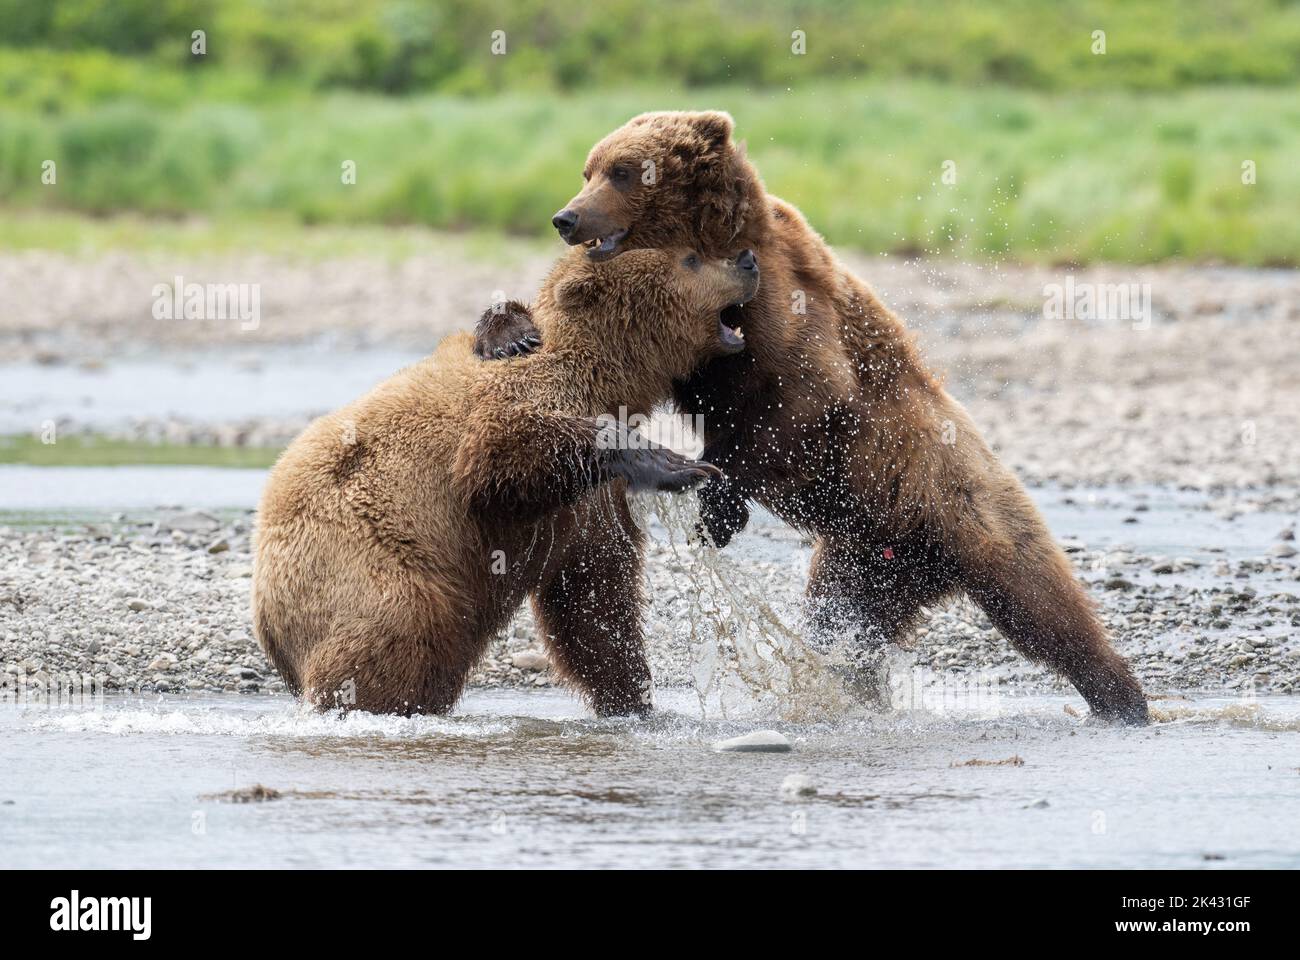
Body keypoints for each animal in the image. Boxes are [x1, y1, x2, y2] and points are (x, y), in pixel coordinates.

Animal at [252, 243, 759, 712]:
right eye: (691, 258)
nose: (748, 260)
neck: (606, 377)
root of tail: (267, 620)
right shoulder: (521, 406)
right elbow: (500, 457)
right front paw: (676, 465)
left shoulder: (591, 504)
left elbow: (594, 596)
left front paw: (632, 699)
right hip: (366, 560)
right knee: (401, 631)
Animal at [478, 108, 1149, 723]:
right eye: (587, 169)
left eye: (621, 171)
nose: (566, 218)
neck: (710, 242)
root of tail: (930, 560)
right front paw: (508, 334)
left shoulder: (783, 301)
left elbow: (803, 393)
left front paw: (717, 505)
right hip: (863, 559)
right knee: (842, 621)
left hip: (961, 499)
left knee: (1045, 606)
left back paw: (1122, 698)